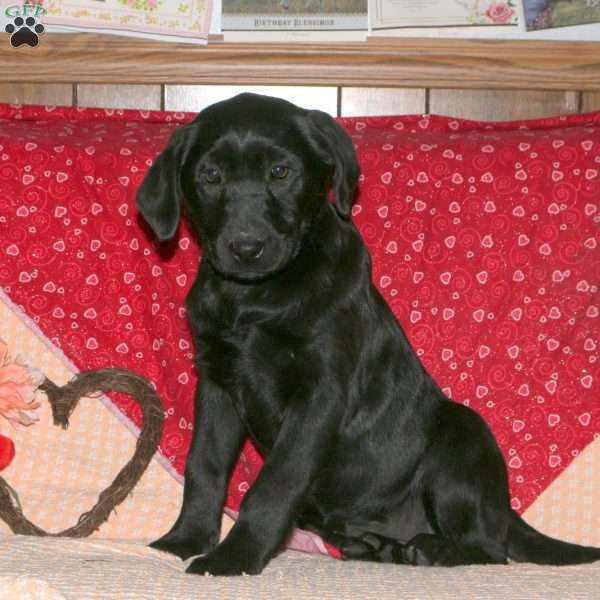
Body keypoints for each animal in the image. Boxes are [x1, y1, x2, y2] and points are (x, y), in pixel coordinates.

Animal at [136, 94, 600, 576]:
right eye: (211, 176)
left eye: (280, 172)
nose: (246, 248)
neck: (255, 298)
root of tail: (504, 508)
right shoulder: (218, 383)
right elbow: (204, 466)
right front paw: (184, 539)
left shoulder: (320, 392)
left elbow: (275, 481)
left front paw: (236, 555)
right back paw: (385, 547)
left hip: (461, 432)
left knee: (491, 550)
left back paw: (434, 550)